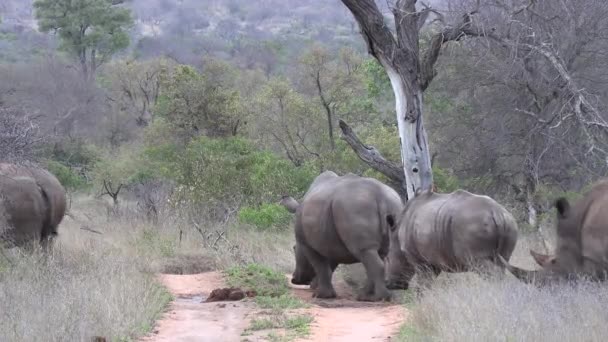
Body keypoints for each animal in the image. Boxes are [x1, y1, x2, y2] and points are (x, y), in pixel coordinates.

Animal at [282, 171, 404, 302]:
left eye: (294, 248)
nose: (295, 280)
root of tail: (380, 196)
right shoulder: (331, 244)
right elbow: (328, 268)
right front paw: (318, 289)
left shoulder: (306, 244)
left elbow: (320, 266)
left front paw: (320, 295)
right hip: (392, 206)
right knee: (377, 255)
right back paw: (365, 297)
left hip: (355, 208)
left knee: (365, 253)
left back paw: (380, 298)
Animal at [388, 188, 520, 290]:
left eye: (388, 259)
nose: (391, 285)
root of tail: (497, 213)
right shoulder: (434, 260)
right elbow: (428, 282)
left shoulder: (420, 261)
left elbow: (423, 284)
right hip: (510, 223)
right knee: (503, 262)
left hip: (472, 224)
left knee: (487, 269)